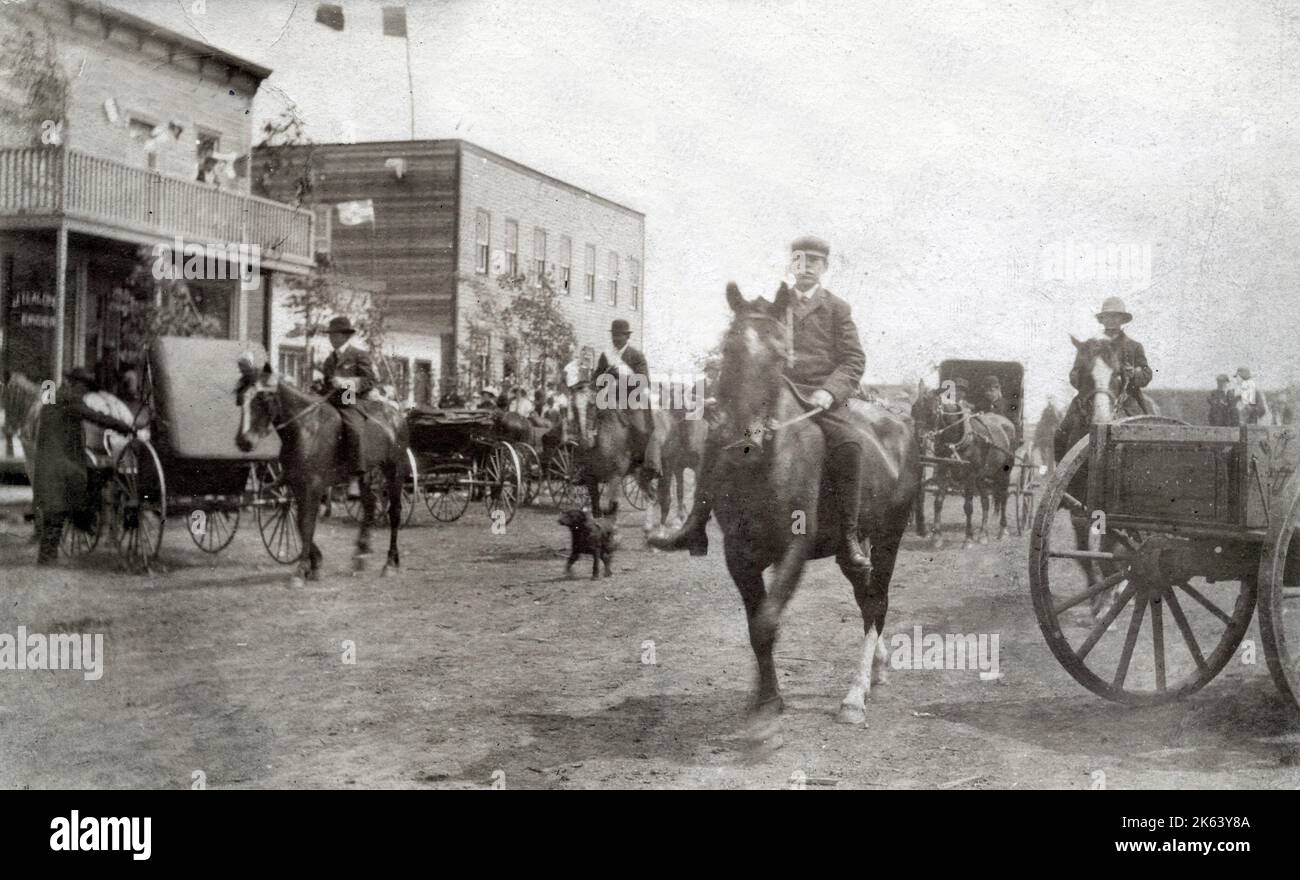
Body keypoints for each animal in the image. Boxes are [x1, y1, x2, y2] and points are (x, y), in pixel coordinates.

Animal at [233, 363, 405, 582]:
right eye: (240, 398)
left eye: (262, 397)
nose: (244, 441)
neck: (306, 428)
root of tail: (396, 416)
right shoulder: (297, 484)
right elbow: (300, 522)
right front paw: (314, 563)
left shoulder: (312, 486)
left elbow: (306, 523)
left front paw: (301, 571)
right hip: (365, 473)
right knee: (369, 507)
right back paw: (361, 555)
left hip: (394, 470)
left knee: (395, 512)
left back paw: (390, 562)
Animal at [717, 282, 920, 733]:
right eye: (728, 349)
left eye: (780, 355)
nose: (745, 445)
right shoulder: (738, 555)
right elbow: (756, 626)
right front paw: (766, 698)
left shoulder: (795, 550)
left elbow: (767, 621)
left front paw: (766, 710)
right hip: (851, 547)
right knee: (865, 594)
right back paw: (875, 670)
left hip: (889, 536)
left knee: (876, 603)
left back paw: (855, 696)